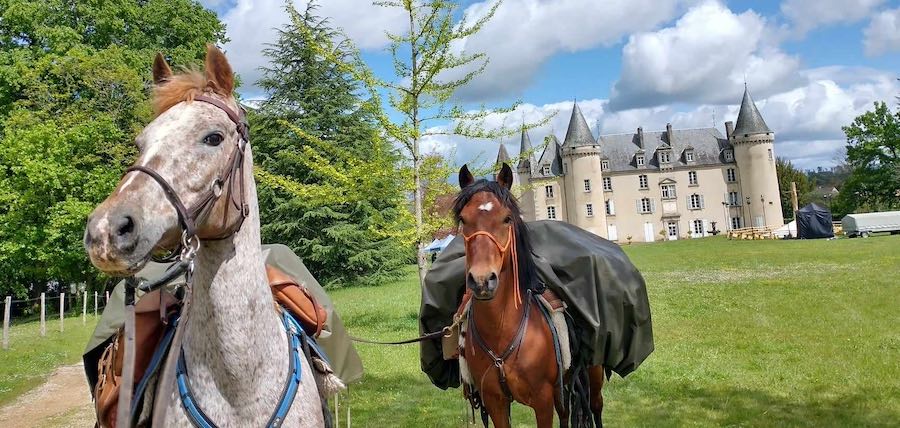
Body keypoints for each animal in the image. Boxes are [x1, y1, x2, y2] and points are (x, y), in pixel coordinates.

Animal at [453, 163, 606, 428]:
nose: (482, 281)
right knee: (565, 413)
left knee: (595, 406)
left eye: (507, 218)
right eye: (463, 219)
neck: (501, 332)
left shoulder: (542, 402)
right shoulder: (495, 403)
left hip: (593, 374)